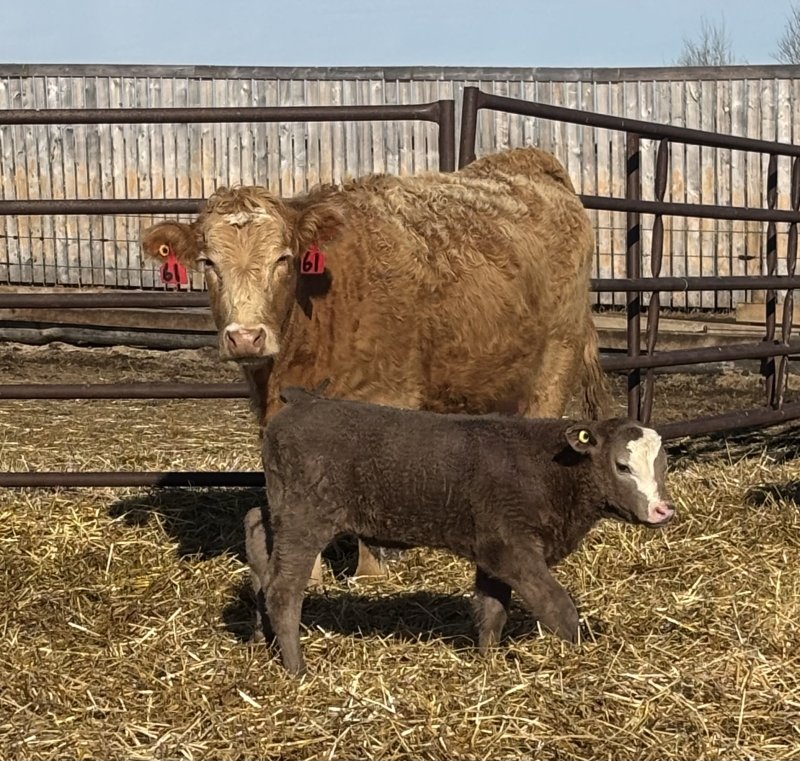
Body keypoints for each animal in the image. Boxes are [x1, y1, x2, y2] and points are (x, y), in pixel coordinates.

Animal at [140, 147, 611, 582]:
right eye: (208, 263)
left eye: (283, 258)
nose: (245, 336)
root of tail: (530, 162)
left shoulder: (388, 396)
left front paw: (370, 575)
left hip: (555, 362)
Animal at [246, 388, 675, 675]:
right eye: (622, 466)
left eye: (663, 465)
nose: (661, 509)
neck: (550, 469)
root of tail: (303, 401)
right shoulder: (513, 549)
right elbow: (558, 606)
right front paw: (583, 653)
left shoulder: (492, 552)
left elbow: (492, 612)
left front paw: (488, 664)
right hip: (305, 519)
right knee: (283, 590)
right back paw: (297, 668)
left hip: (281, 511)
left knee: (256, 539)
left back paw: (260, 638)